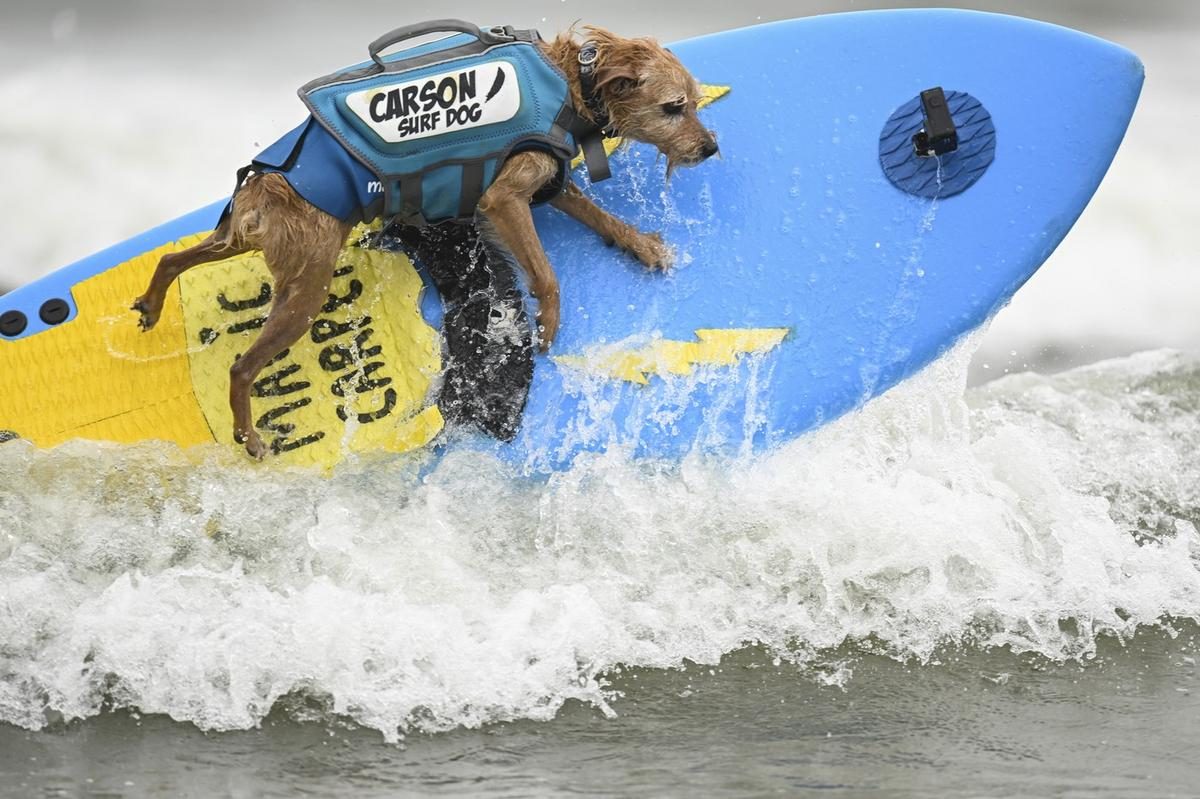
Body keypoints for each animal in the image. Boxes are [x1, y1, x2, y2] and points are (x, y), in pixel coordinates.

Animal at [133, 24, 710, 458]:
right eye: (674, 106)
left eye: (696, 103)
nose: (711, 147)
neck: (570, 83)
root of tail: (266, 186)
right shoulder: (503, 199)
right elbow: (546, 274)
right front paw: (548, 321)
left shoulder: (551, 181)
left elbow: (602, 219)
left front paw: (642, 247)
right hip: (305, 290)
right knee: (240, 367)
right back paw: (248, 433)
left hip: (245, 243)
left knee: (171, 258)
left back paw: (152, 304)